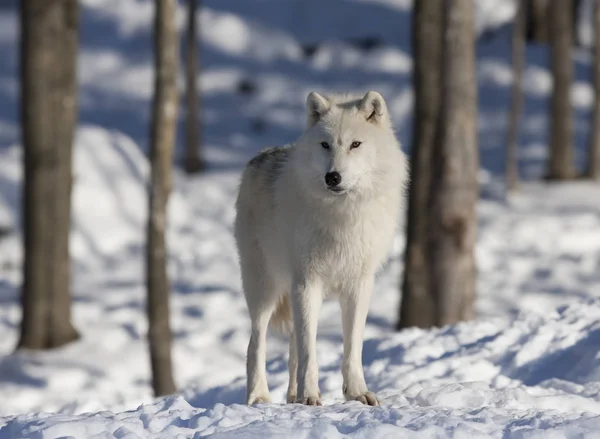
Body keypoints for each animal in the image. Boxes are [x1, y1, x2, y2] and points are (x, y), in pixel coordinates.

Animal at [234, 91, 408, 408]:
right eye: (325, 145)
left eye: (355, 144)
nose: (333, 177)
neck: (343, 214)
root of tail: (259, 156)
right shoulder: (307, 282)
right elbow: (309, 351)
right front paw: (311, 396)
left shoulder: (359, 285)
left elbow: (352, 349)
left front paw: (357, 393)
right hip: (264, 289)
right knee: (257, 343)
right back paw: (258, 396)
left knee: (291, 349)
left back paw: (291, 397)